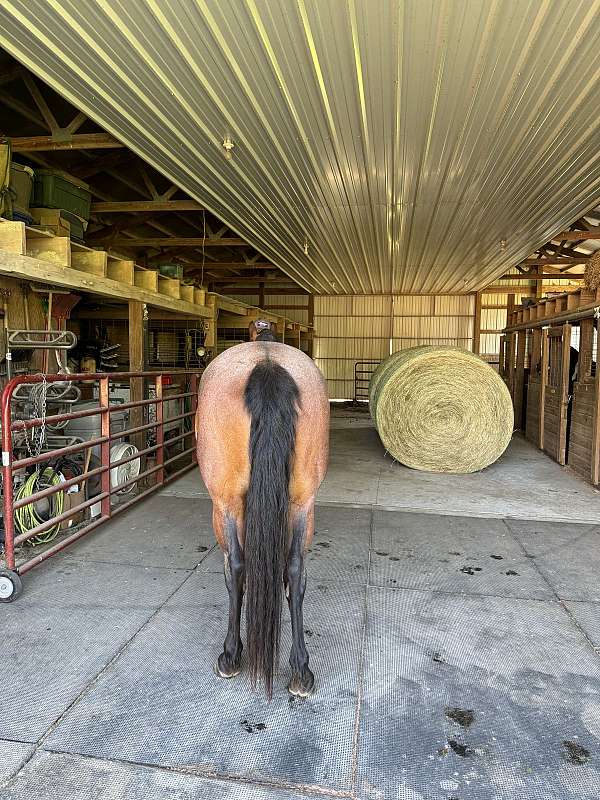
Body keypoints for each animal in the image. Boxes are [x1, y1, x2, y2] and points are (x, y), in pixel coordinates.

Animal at [196, 322, 328, 696]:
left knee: (236, 566)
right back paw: (301, 669)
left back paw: (230, 655)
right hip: (303, 504)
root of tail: (267, 365)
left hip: (224, 504)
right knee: (296, 570)